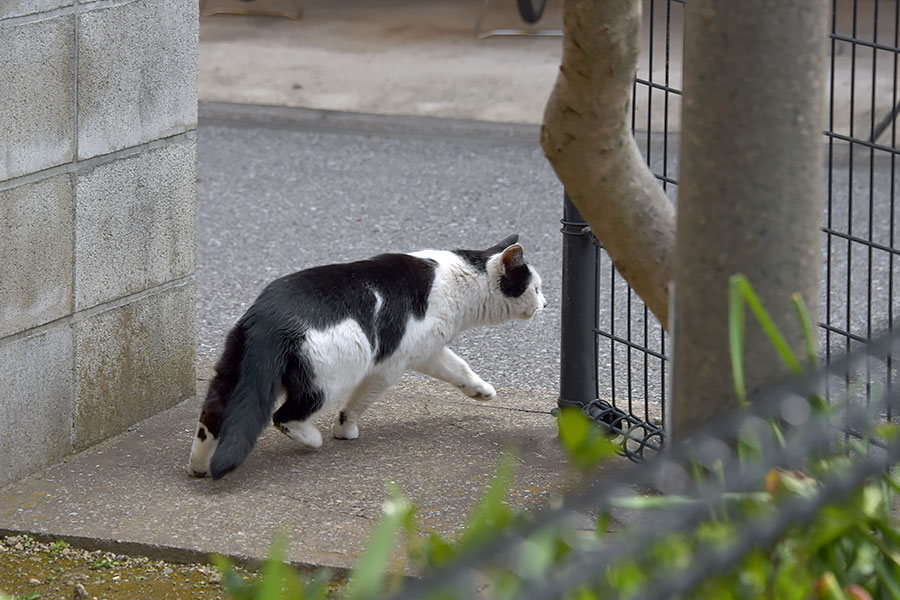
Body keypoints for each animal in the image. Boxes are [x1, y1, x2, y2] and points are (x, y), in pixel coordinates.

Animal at [186, 234, 544, 478]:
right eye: (537, 288)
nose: (546, 303)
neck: (463, 279)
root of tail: (268, 319)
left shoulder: (427, 351)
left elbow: (459, 368)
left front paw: (481, 391)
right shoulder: (389, 365)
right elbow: (358, 403)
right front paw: (344, 430)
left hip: (230, 373)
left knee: (210, 417)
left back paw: (199, 466)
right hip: (328, 380)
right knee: (283, 416)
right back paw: (313, 439)